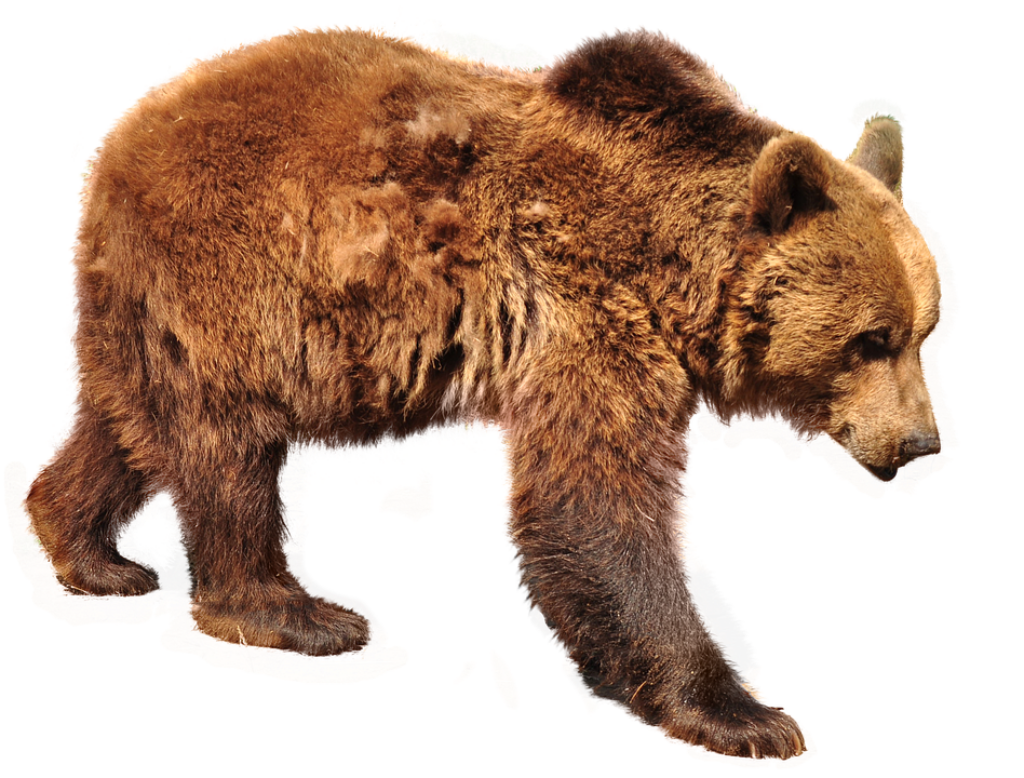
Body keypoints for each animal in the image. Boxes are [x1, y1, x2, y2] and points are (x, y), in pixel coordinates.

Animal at [30, 24, 944, 759]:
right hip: (236, 273)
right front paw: (743, 713)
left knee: (125, 425)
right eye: (872, 338)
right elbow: (595, 498)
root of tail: (120, 137)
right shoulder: (586, 305)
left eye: (930, 328)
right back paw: (300, 610)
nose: (921, 443)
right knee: (230, 450)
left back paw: (93, 554)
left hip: (150, 308)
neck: (669, 263)